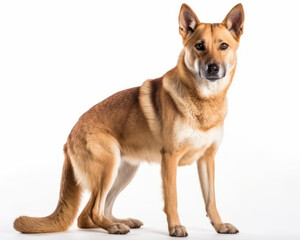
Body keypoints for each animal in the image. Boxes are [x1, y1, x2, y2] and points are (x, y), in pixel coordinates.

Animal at [14, 2, 244, 237]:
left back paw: (122, 221)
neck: (204, 100)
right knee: (92, 212)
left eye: (223, 46)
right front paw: (175, 227)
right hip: (108, 168)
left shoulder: (207, 159)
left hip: (123, 172)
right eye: (199, 46)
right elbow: (172, 199)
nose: (213, 68)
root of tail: (69, 137)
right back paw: (114, 226)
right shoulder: (169, 159)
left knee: (91, 213)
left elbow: (211, 200)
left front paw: (219, 225)